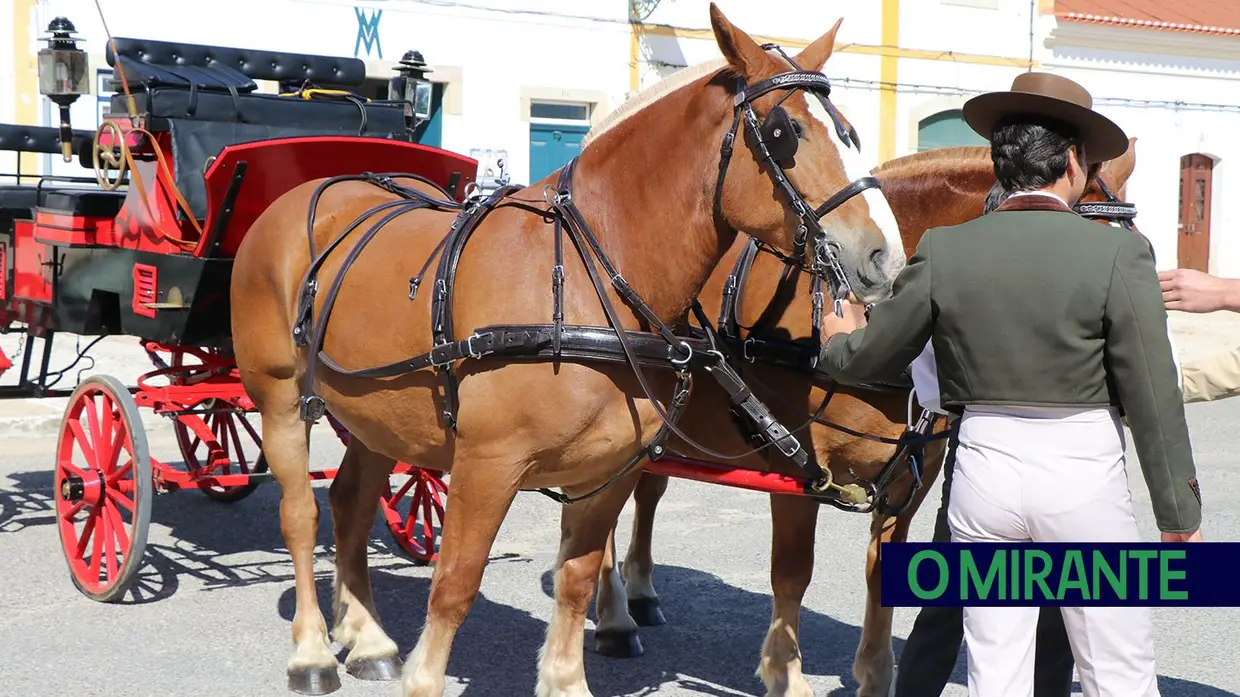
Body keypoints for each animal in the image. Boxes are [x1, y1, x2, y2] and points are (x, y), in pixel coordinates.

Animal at [230, 4, 902, 689]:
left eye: (850, 131)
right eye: (784, 131)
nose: (886, 258)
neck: (581, 279)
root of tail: (314, 190)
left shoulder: (608, 471)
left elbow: (577, 581)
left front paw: (567, 676)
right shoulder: (486, 466)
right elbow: (454, 585)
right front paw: (424, 679)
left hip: (376, 415)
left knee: (352, 504)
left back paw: (367, 638)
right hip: (281, 399)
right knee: (301, 515)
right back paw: (313, 651)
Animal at [590, 138, 1140, 689]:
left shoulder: (916, 473)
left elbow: (884, 570)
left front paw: (875, 674)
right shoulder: (795, 466)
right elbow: (792, 571)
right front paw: (784, 671)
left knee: (646, 494)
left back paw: (639, 593)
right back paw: (615, 616)